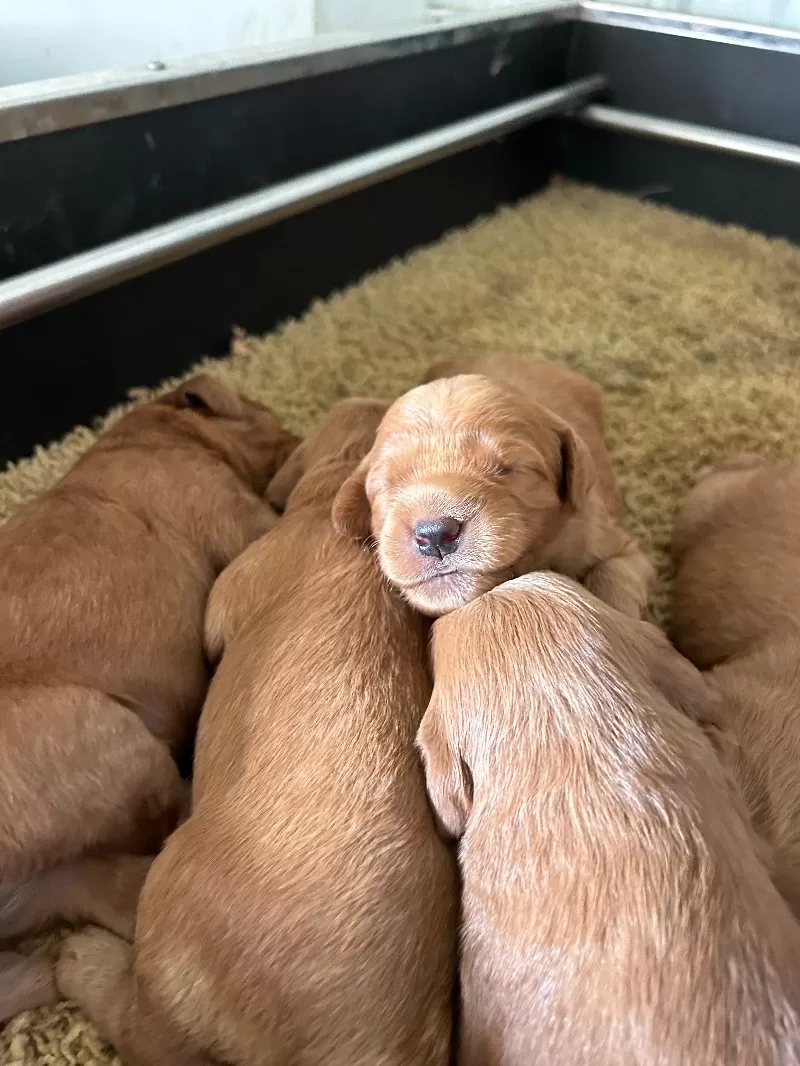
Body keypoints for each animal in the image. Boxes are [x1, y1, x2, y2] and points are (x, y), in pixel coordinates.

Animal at [0, 375, 298, 1023]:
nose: (298, 434)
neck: (153, 433)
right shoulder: (236, 515)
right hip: (108, 734)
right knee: (163, 820)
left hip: (42, 882)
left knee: (100, 895)